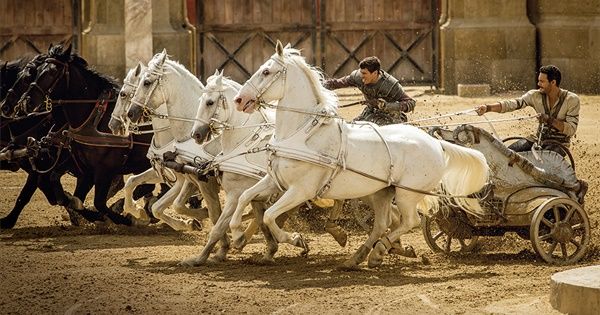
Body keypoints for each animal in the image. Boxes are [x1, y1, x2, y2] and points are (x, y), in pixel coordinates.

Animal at [17, 44, 158, 227]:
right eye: (37, 71)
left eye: (52, 72)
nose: (26, 102)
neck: (93, 117)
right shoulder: (84, 168)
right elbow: (69, 194)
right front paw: (89, 213)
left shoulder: (104, 169)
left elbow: (99, 202)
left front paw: (120, 218)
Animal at [230, 41, 488, 270]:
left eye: (266, 71)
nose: (239, 100)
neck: (301, 133)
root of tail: (436, 143)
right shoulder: (275, 181)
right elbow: (245, 198)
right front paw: (237, 235)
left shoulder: (301, 190)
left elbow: (269, 215)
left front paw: (296, 239)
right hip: (382, 192)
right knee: (383, 223)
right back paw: (359, 258)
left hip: (406, 194)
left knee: (409, 222)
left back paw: (378, 251)